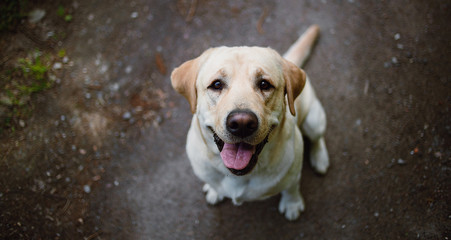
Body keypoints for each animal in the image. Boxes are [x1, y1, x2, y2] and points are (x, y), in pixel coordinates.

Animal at [171, 25, 330, 220]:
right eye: (216, 84)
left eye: (264, 84)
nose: (241, 124)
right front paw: (214, 190)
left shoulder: (293, 173)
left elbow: (291, 188)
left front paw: (292, 204)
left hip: (313, 120)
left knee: (317, 138)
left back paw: (320, 157)